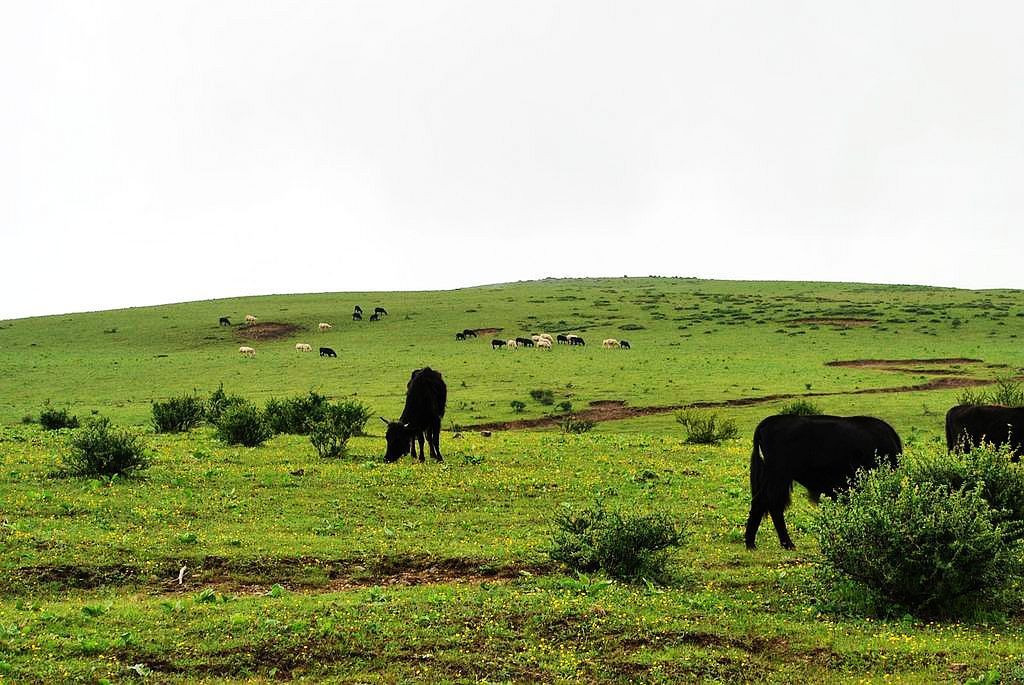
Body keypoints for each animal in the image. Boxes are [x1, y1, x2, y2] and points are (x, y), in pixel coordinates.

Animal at [745, 411, 905, 548]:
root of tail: (768, 422)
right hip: (778, 477)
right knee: (769, 503)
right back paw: (777, 544)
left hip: (774, 478)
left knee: (765, 503)